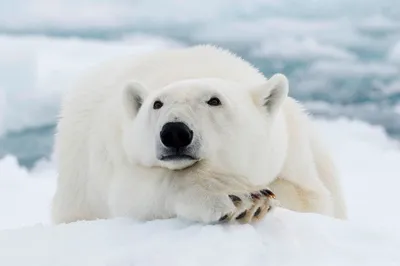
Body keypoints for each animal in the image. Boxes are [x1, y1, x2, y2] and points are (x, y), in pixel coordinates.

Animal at [51, 44, 346, 224]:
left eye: (214, 100)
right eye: (157, 103)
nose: (175, 132)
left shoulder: (292, 154)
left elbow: (311, 199)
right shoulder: (116, 153)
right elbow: (133, 192)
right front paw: (239, 197)